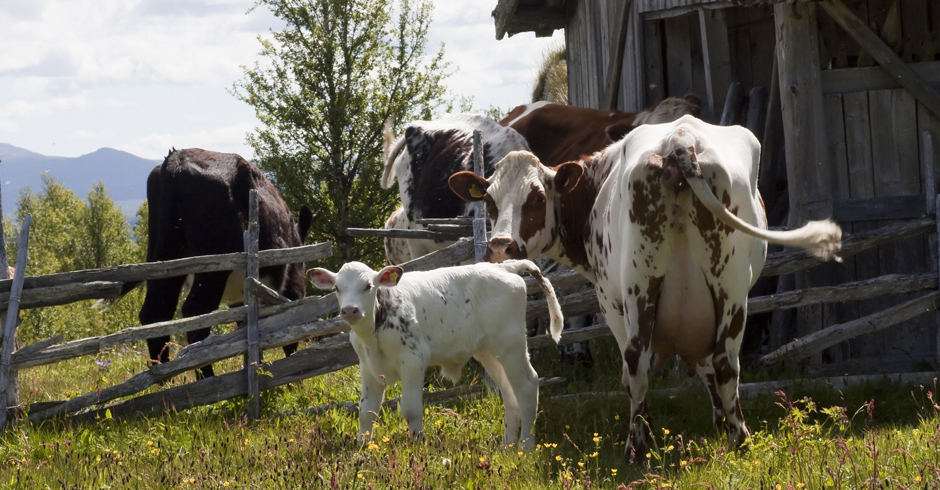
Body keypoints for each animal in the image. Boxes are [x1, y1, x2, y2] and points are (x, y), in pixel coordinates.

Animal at [134, 149, 314, 378]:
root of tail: (176, 159)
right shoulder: (292, 288)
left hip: (162, 258)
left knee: (156, 312)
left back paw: (164, 379)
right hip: (212, 270)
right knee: (195, 311)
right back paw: (206, 378)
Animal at [308, 260, 560, 448]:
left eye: (368, 285)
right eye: (337, 288)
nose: (350, 310)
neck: (375, 330)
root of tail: (504, 266)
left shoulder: (413, 360)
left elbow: (410, 408)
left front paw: (417, 443)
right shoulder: (368, 367)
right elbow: (367, 410)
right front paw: (362, 448)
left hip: (511, 345)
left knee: (527, 385)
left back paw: (525, 447)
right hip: (489, 352)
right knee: (509, 392)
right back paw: (506, 445)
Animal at [452, 115, 840, 460]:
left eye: (536, 198)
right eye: (489, 201)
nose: (500, 246)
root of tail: (681, 140)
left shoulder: (609, 301)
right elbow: (704, 367)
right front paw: (718, 425)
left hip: (648, 291)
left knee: (641, 364)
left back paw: (642, 446)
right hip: (725, 290)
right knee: (722, 363)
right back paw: (735, 441)